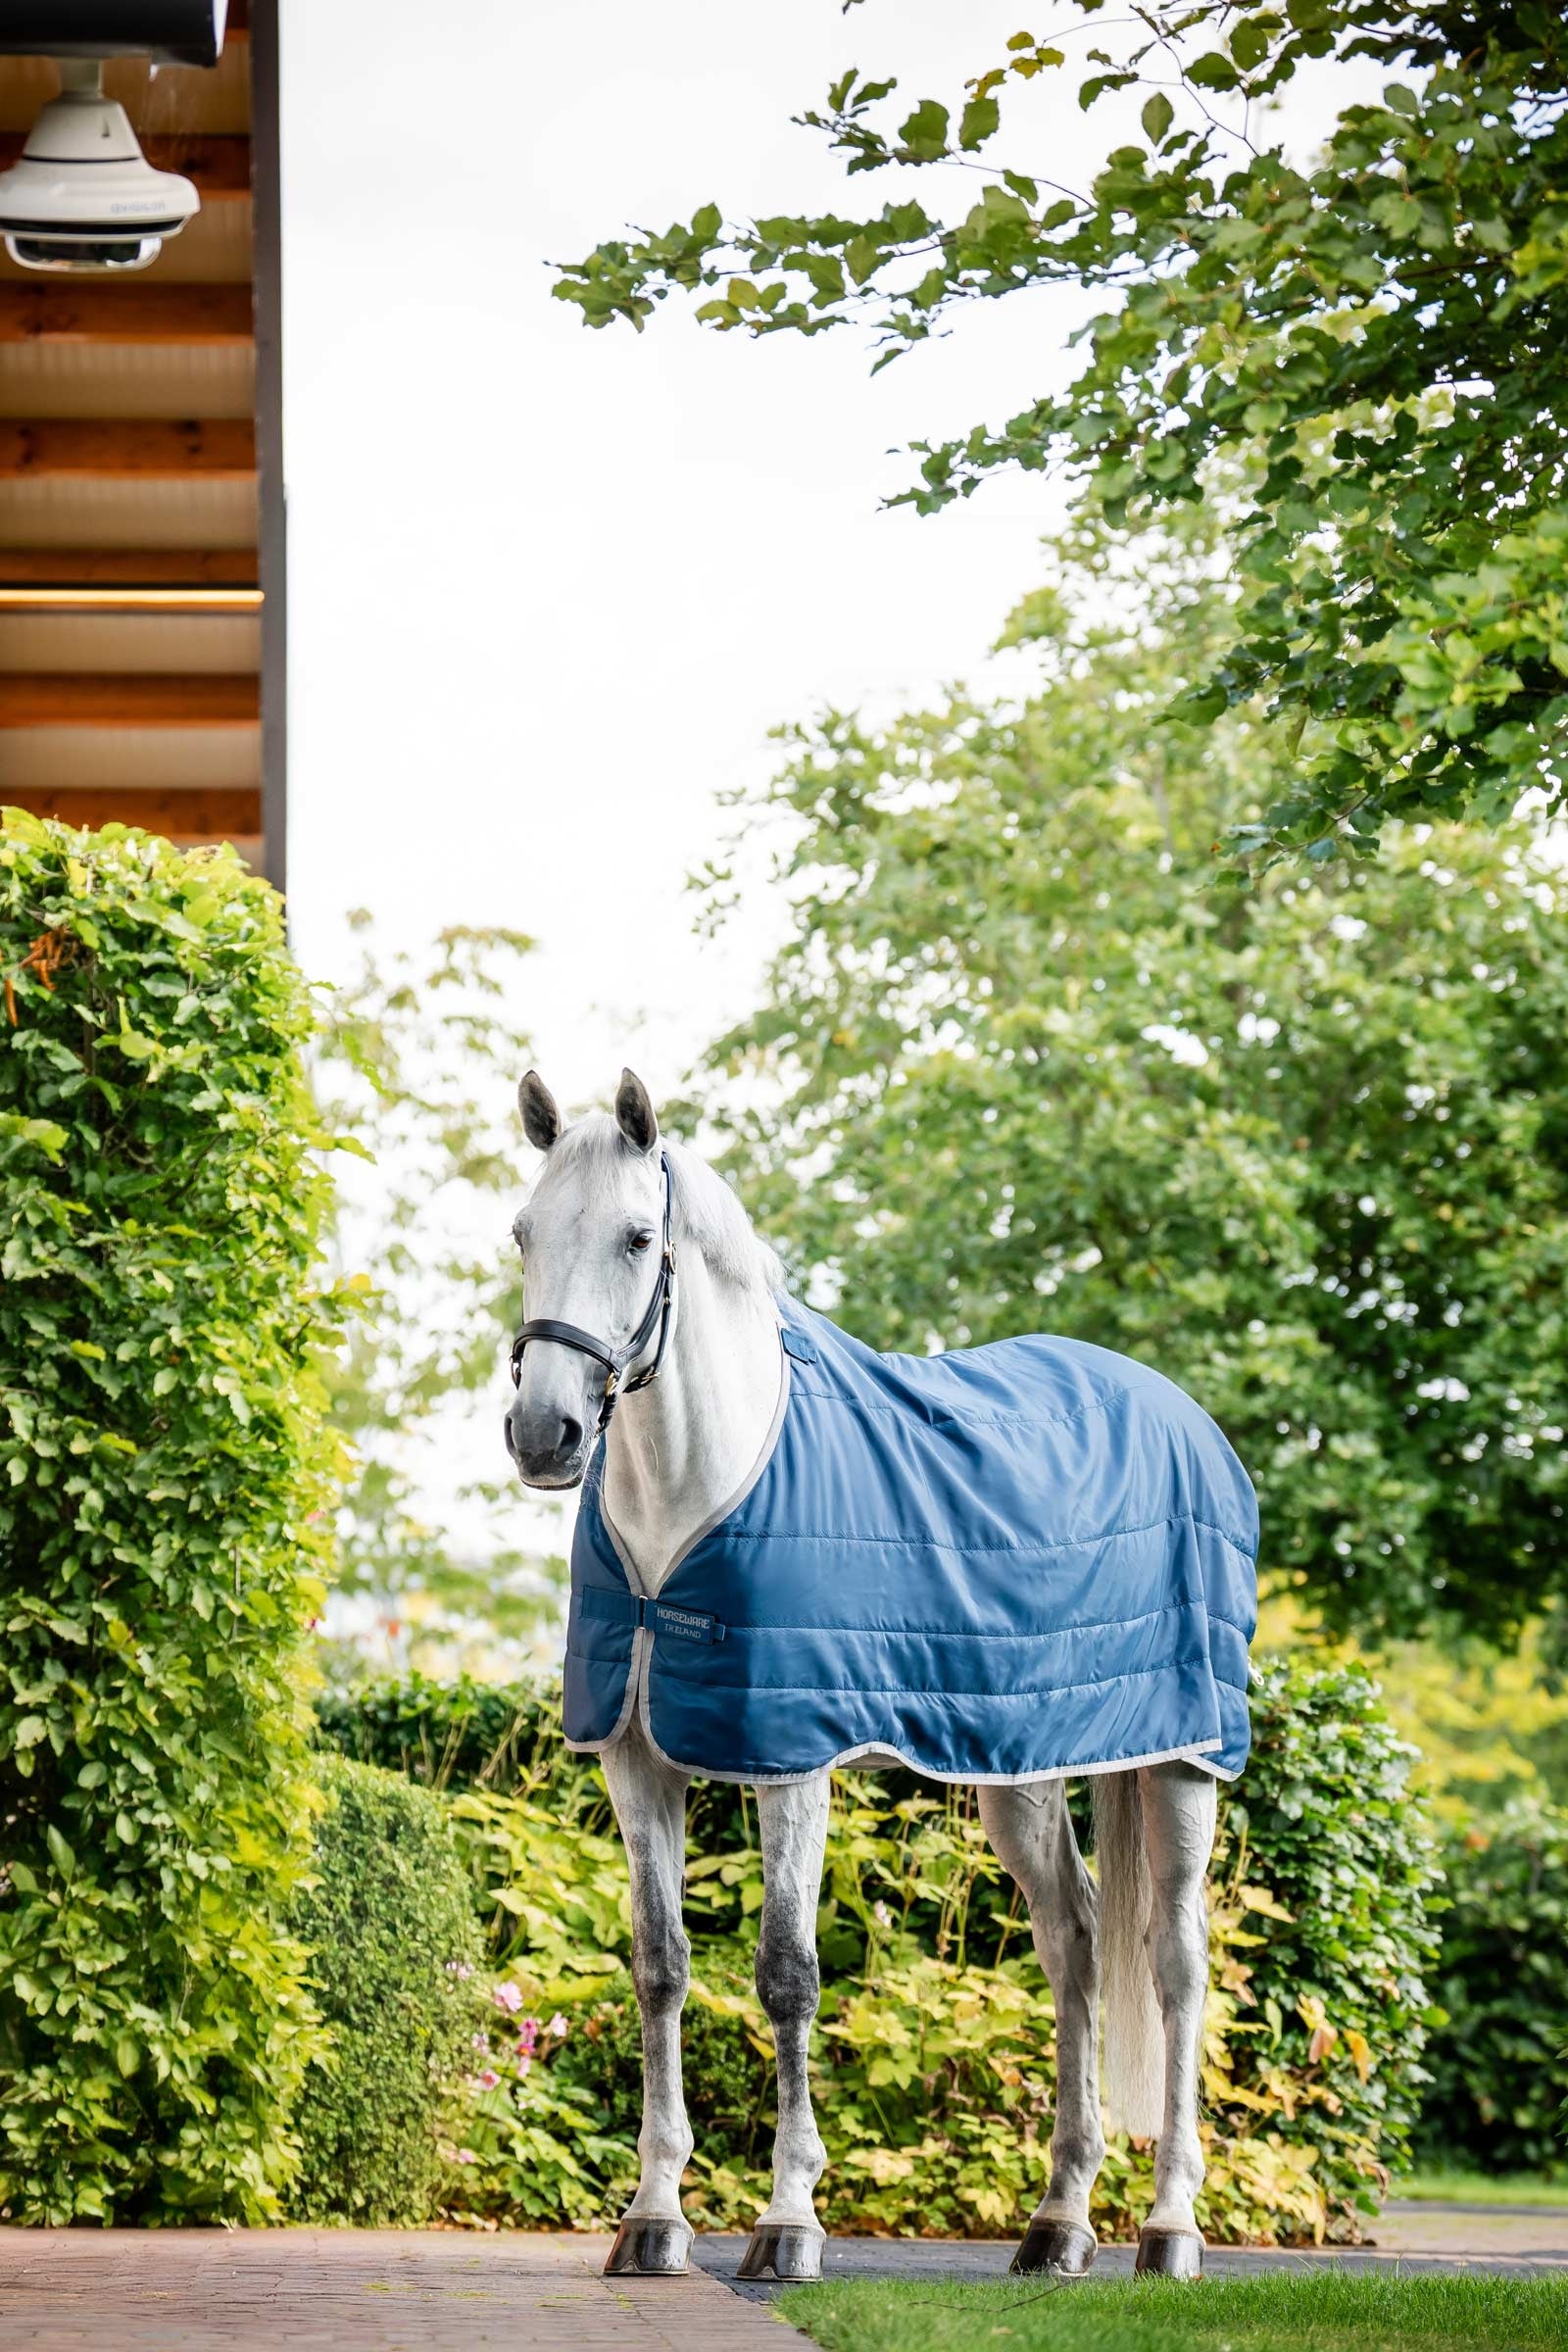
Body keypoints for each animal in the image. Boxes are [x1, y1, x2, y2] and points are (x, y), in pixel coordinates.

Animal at [503, 1067, 1257, 2285]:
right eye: (523, 1232)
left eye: (636, 1238)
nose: (545, 1434)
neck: (696, 1494)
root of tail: (1183, 1416)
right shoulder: (634, 1757)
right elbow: (660, 1967)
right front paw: (653, 2220)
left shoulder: (790, 1761)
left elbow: (786, 1973)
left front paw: (788, 2223)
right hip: (1021, 1768)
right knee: (1075, 1946)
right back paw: (1057, 2224)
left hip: (1183, 1760)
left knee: (1177, 1964)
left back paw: (1169, 2230)